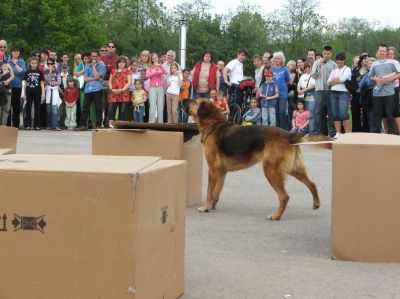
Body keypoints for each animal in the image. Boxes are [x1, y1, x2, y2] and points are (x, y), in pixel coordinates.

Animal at [183, 98, 332, 220]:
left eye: (194, 101)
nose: (183, 99)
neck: (213, 123)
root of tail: (289, 135)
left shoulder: (213, 170)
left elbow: (209, 192)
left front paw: (205, 208)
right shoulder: (221, 172)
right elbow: (216, 192)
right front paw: (212, 206)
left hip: (270, 171)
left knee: (284, 196)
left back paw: (276, 216)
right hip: (294, 169)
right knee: (312, 184)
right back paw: (316, 204)